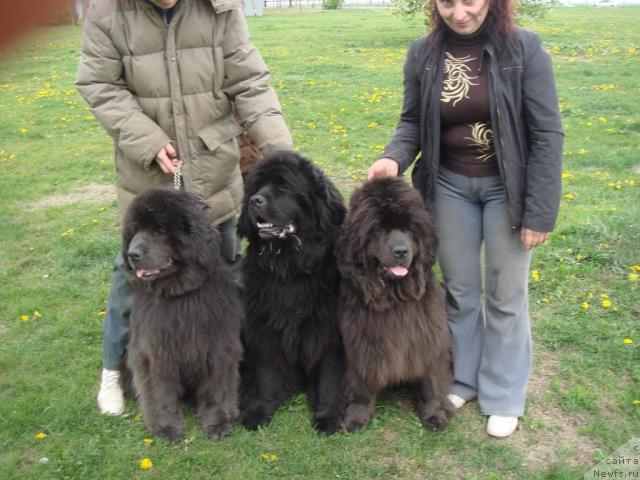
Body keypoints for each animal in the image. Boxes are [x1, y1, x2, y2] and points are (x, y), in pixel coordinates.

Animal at [239, 152, 348, 434]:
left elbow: (330, 375)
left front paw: (328, 416)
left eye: (284, 187)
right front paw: (259, 410)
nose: (255, 201)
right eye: (256, 187)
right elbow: (266, 373)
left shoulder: (330, 331)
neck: (290, 269)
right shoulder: (265, 325)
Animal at [336, 176, 456, 432]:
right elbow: (360, 382)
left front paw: (434, 413)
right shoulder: (360, 342)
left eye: (410, 229)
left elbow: (431, 380)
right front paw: (357, 415)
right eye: (379, 229)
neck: (395, 300)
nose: (401, 251)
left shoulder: (428, 338)